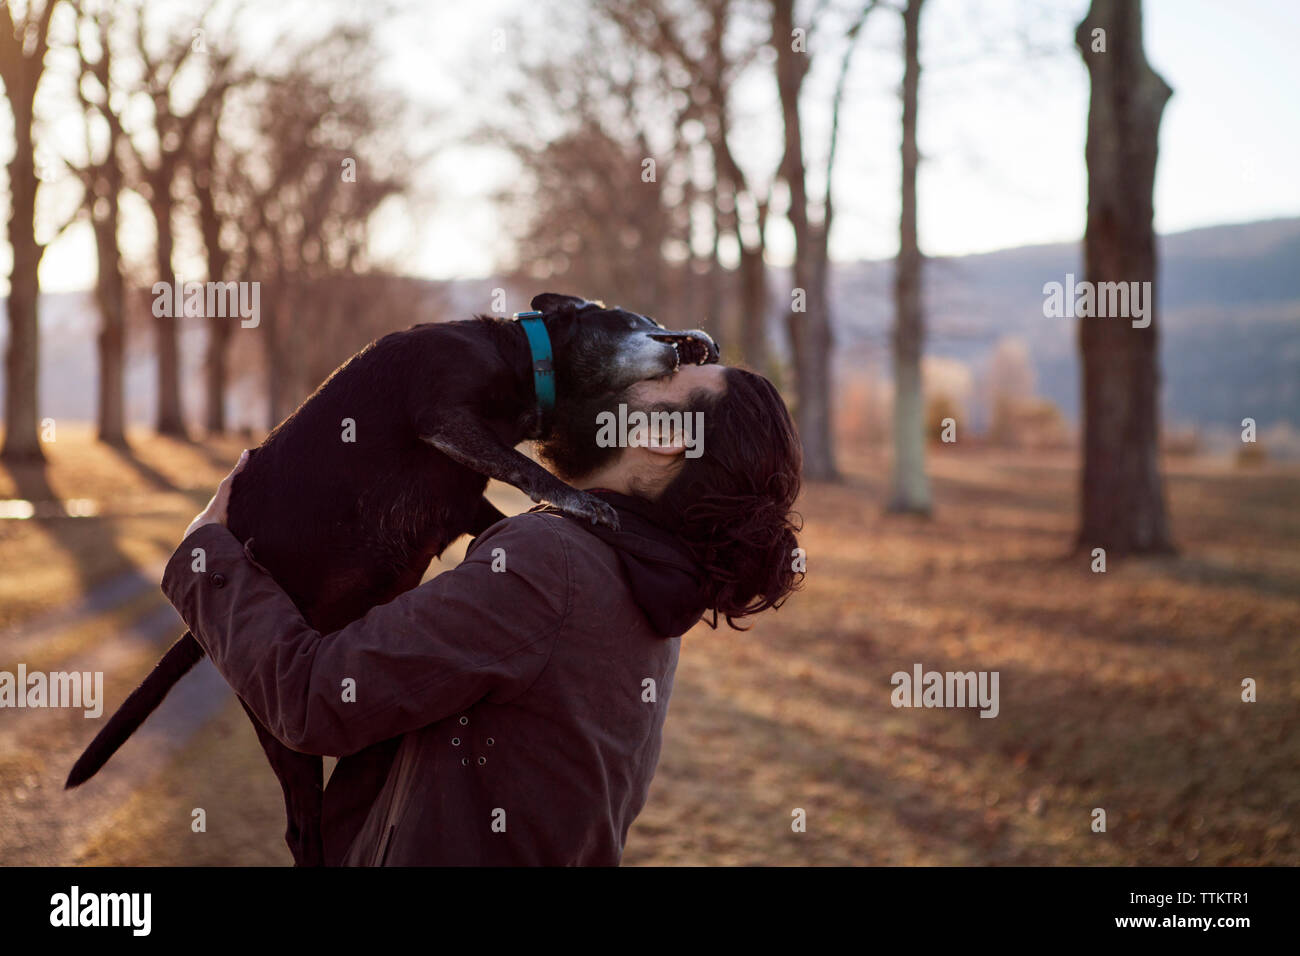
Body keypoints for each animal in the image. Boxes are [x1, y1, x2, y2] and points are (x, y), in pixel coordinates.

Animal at [65, 291, 717, 868]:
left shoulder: (464, 505)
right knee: (301, 829)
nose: (694, 342)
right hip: (280, 733)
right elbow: (528, 471)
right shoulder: (445, 415)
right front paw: (582, 502)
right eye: (634, 318)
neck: (521, 358)